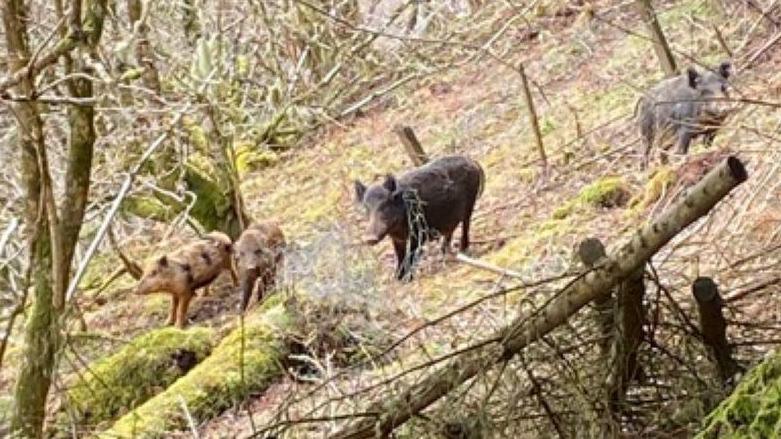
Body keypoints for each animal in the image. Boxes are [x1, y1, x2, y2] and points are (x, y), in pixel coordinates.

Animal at [352, 156, 482, 282]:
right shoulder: (397, 239)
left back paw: (463, 250)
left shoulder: (419, 233)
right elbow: (400, 255)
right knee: (451, 230)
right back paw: (444, 253)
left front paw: (407, 279)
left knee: (466, 224)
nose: (369, 239)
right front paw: (397, 278)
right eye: (366, 207)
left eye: (385, 205)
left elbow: (411, 254)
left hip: (470, 202)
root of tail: (471, 161)